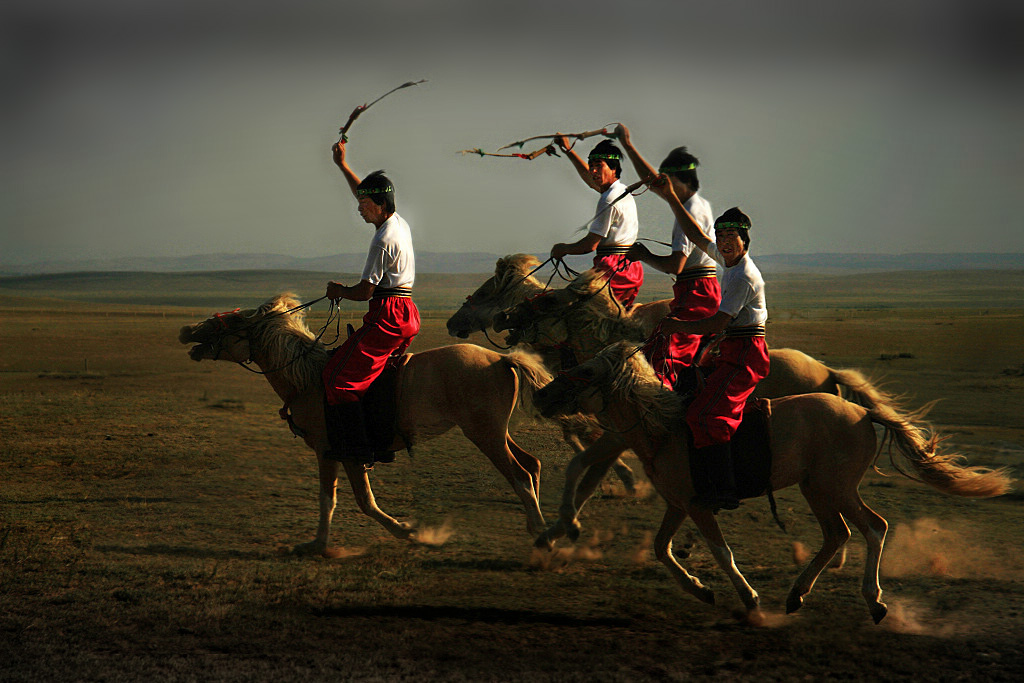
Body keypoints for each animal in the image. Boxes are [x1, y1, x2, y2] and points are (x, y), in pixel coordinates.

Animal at [180, 292, 557, 557]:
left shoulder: (339, 452)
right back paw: (542, 529)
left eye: (233, 322)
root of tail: (503, 360)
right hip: (496, 433)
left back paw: (543, 536)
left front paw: (410, 532)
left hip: (485, 434)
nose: (187, 331)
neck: (308, 379)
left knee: (520, 474)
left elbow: (361, 501)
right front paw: (317, 545)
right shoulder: (332, 453)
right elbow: (330, 500)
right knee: (532, 465)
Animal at [532, 342, 1011, 626]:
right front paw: (700, 590)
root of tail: (863, 413)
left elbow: (721, 552)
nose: (540, 395)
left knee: (872, 528)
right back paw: (797, 595)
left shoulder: (699, 506)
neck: (664, 428)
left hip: (834, 489)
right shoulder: (679, 504)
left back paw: (873, 602)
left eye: (586, 371)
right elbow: (661, 548)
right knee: (839, 534)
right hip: (818, 490)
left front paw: (748, 599)